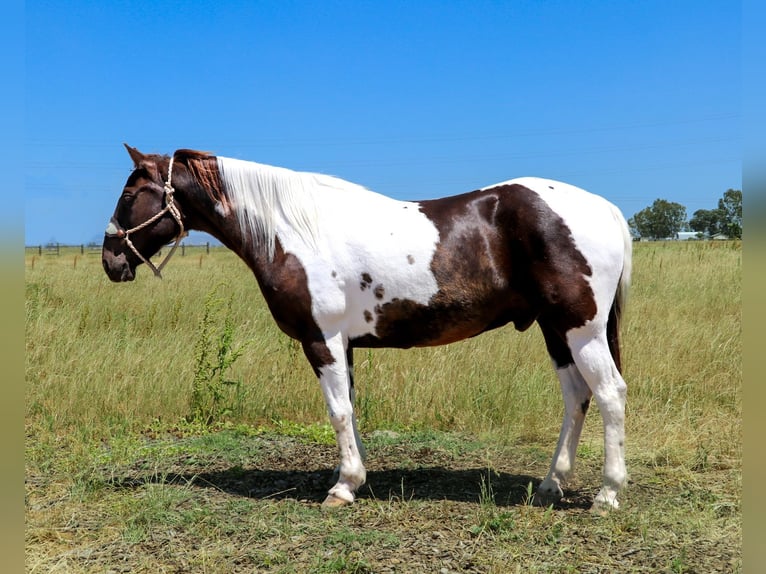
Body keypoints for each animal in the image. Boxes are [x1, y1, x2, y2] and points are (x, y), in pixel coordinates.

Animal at [103, 144, 636, 512]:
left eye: (130, 193)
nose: (111, 261)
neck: (292, 232)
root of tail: (606, 208)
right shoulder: (346, 345)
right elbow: (352, 411)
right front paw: (357, 477)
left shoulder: (321, 340)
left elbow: (337, 412)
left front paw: (342, 488)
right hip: (556, 329)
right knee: (576, 396)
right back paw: (551, 484)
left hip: (580, 329)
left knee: (609, 394)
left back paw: (607, 495)